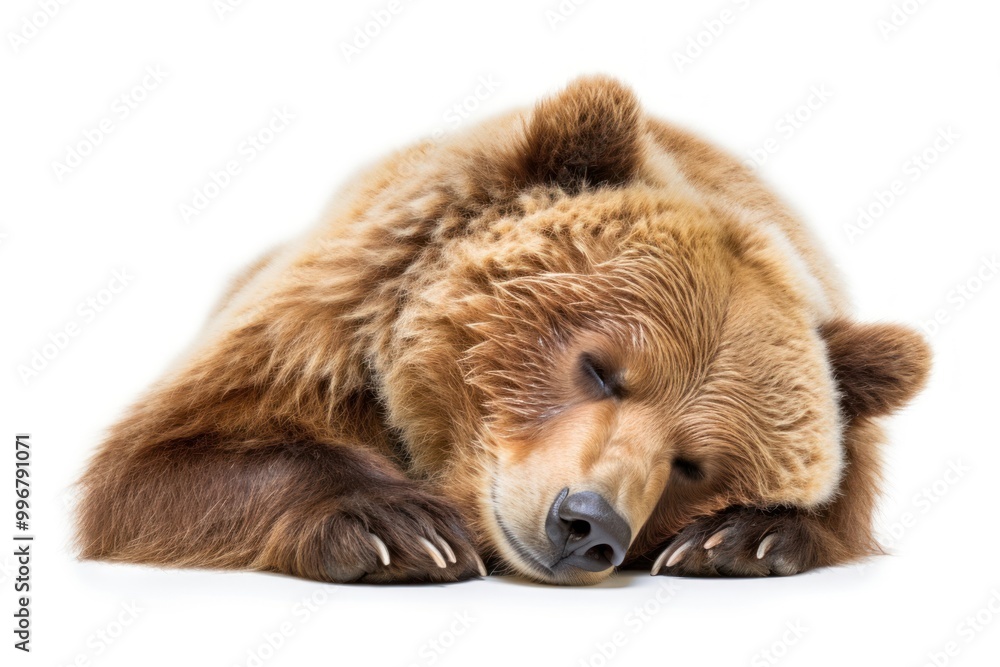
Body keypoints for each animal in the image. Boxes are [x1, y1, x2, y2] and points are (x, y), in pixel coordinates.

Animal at [75, 76, 931, 585]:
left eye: (694, 463)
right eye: (599, 366)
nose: (588, 524)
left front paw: (738, 538)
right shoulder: (307, 337)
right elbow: (159, 464)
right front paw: (399, 527)